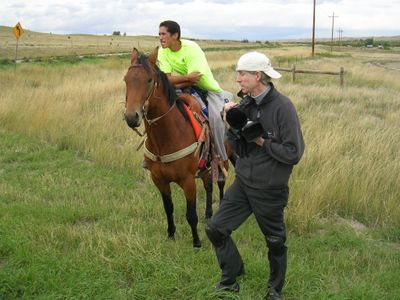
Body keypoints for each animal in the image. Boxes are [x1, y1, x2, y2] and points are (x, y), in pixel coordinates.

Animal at [123, 47, 227, 248]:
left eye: (149, 80)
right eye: (126, 79)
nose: (131, 117)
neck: (165, 139)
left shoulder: (188, 181)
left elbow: (191, 214)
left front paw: (196, 242)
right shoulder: (159, 180)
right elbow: (168, 208)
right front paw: (171, 234)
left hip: (223, 159)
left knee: (220, 182)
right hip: (205, 166)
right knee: (209, 185)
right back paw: (208, 214)